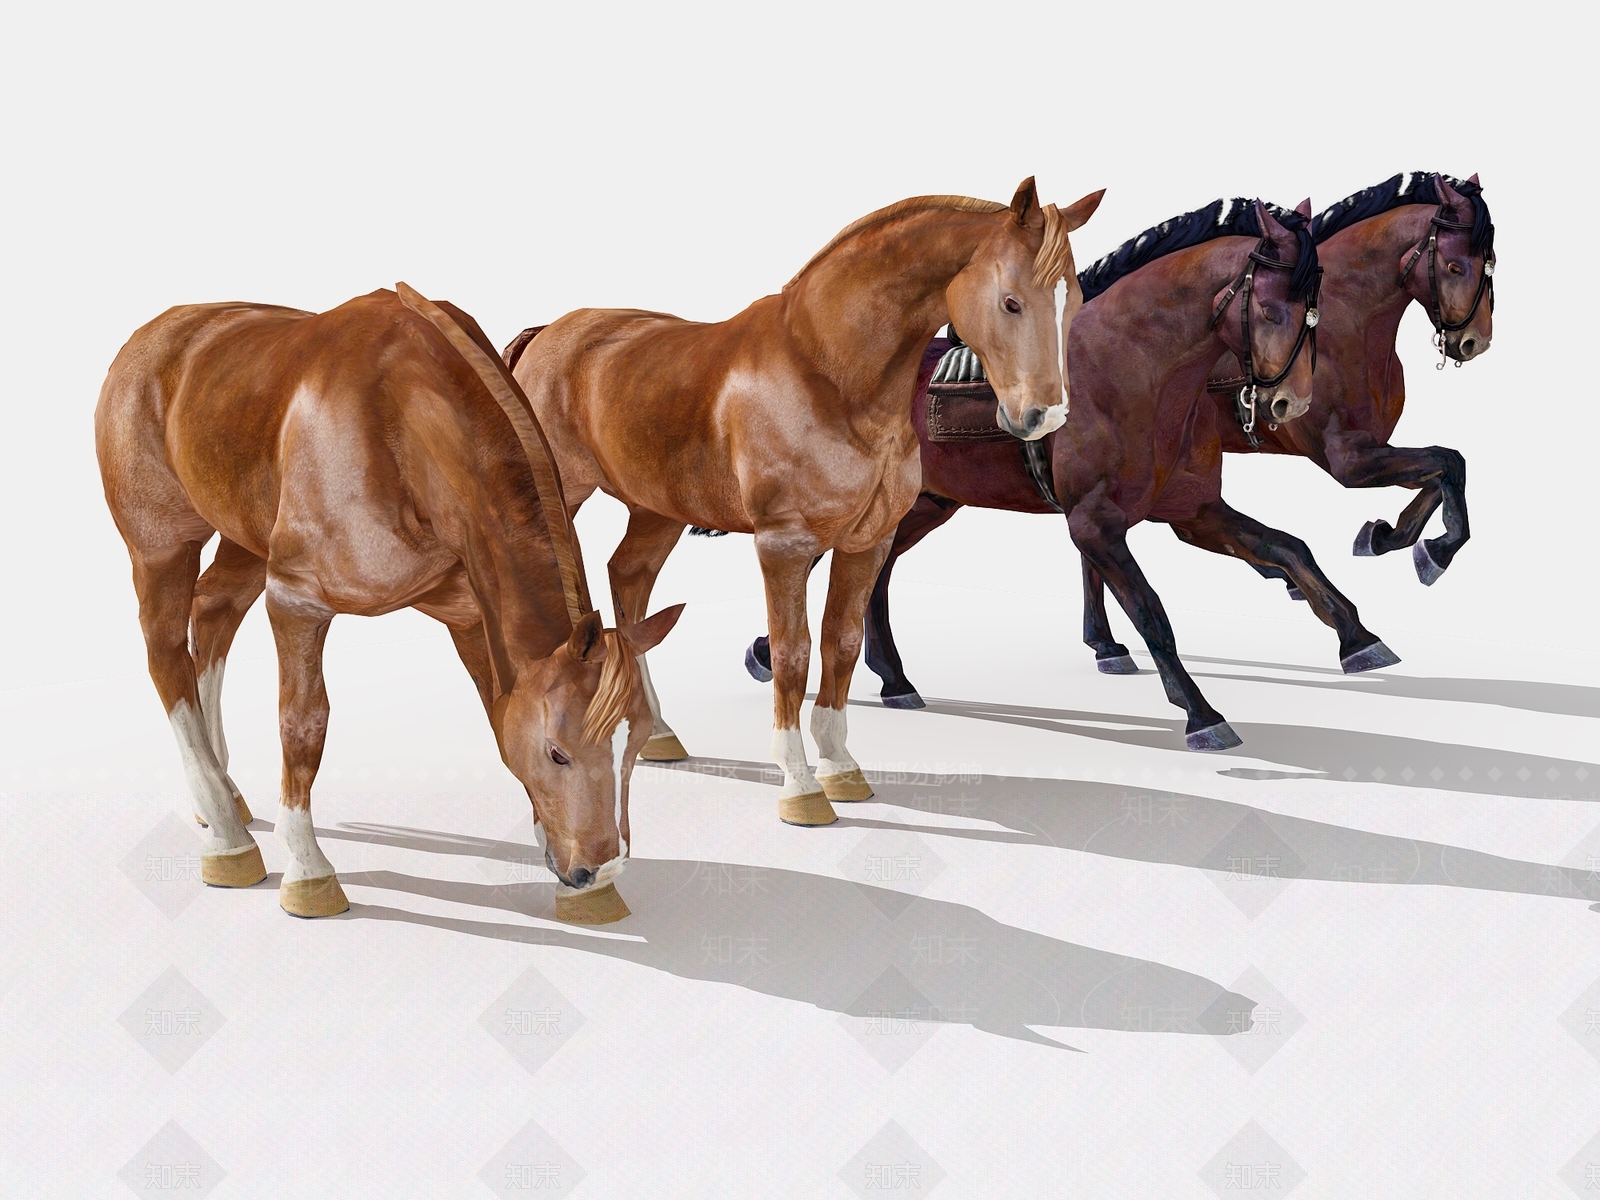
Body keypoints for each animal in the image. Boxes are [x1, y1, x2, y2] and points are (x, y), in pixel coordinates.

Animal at [96, 285, 682, 923]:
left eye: (634, 743)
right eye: (557, 753)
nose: (597, 868)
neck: (404, 428)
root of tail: (159, 330)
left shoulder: (469, 615)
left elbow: (497, 714)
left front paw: (585, 893)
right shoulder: (296, 600)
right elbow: (304, 724)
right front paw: (308, 872)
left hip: (246, 537)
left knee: (212, 611)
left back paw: (219, 799)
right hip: (160, 546)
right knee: (166, 654)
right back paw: (228, 840)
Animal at [507, 179, 1104, 826]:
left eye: (1073, 302)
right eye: (1011, 302)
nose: (1045, 417)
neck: (829, 374)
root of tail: (548, 332)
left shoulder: (868, 542)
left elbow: (840, 644)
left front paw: (842, 769)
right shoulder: (784, 545)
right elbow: (792, 655)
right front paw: (799, 786)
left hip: (658, 509)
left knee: (630, 579)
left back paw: (659, 734)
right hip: (562, 496)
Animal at [746, 198, 1322, 752]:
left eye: (1312, 313)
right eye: (1269, 310)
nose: (1289, 403)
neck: (1133, 369)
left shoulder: (1193, 512)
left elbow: (1289, 548)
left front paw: (1343, 634)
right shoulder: (1094, 524)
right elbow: (1151, 612)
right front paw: (1203, 716)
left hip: (924, 506)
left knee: (875, 574)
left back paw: (892, 680)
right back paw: (771, 655)